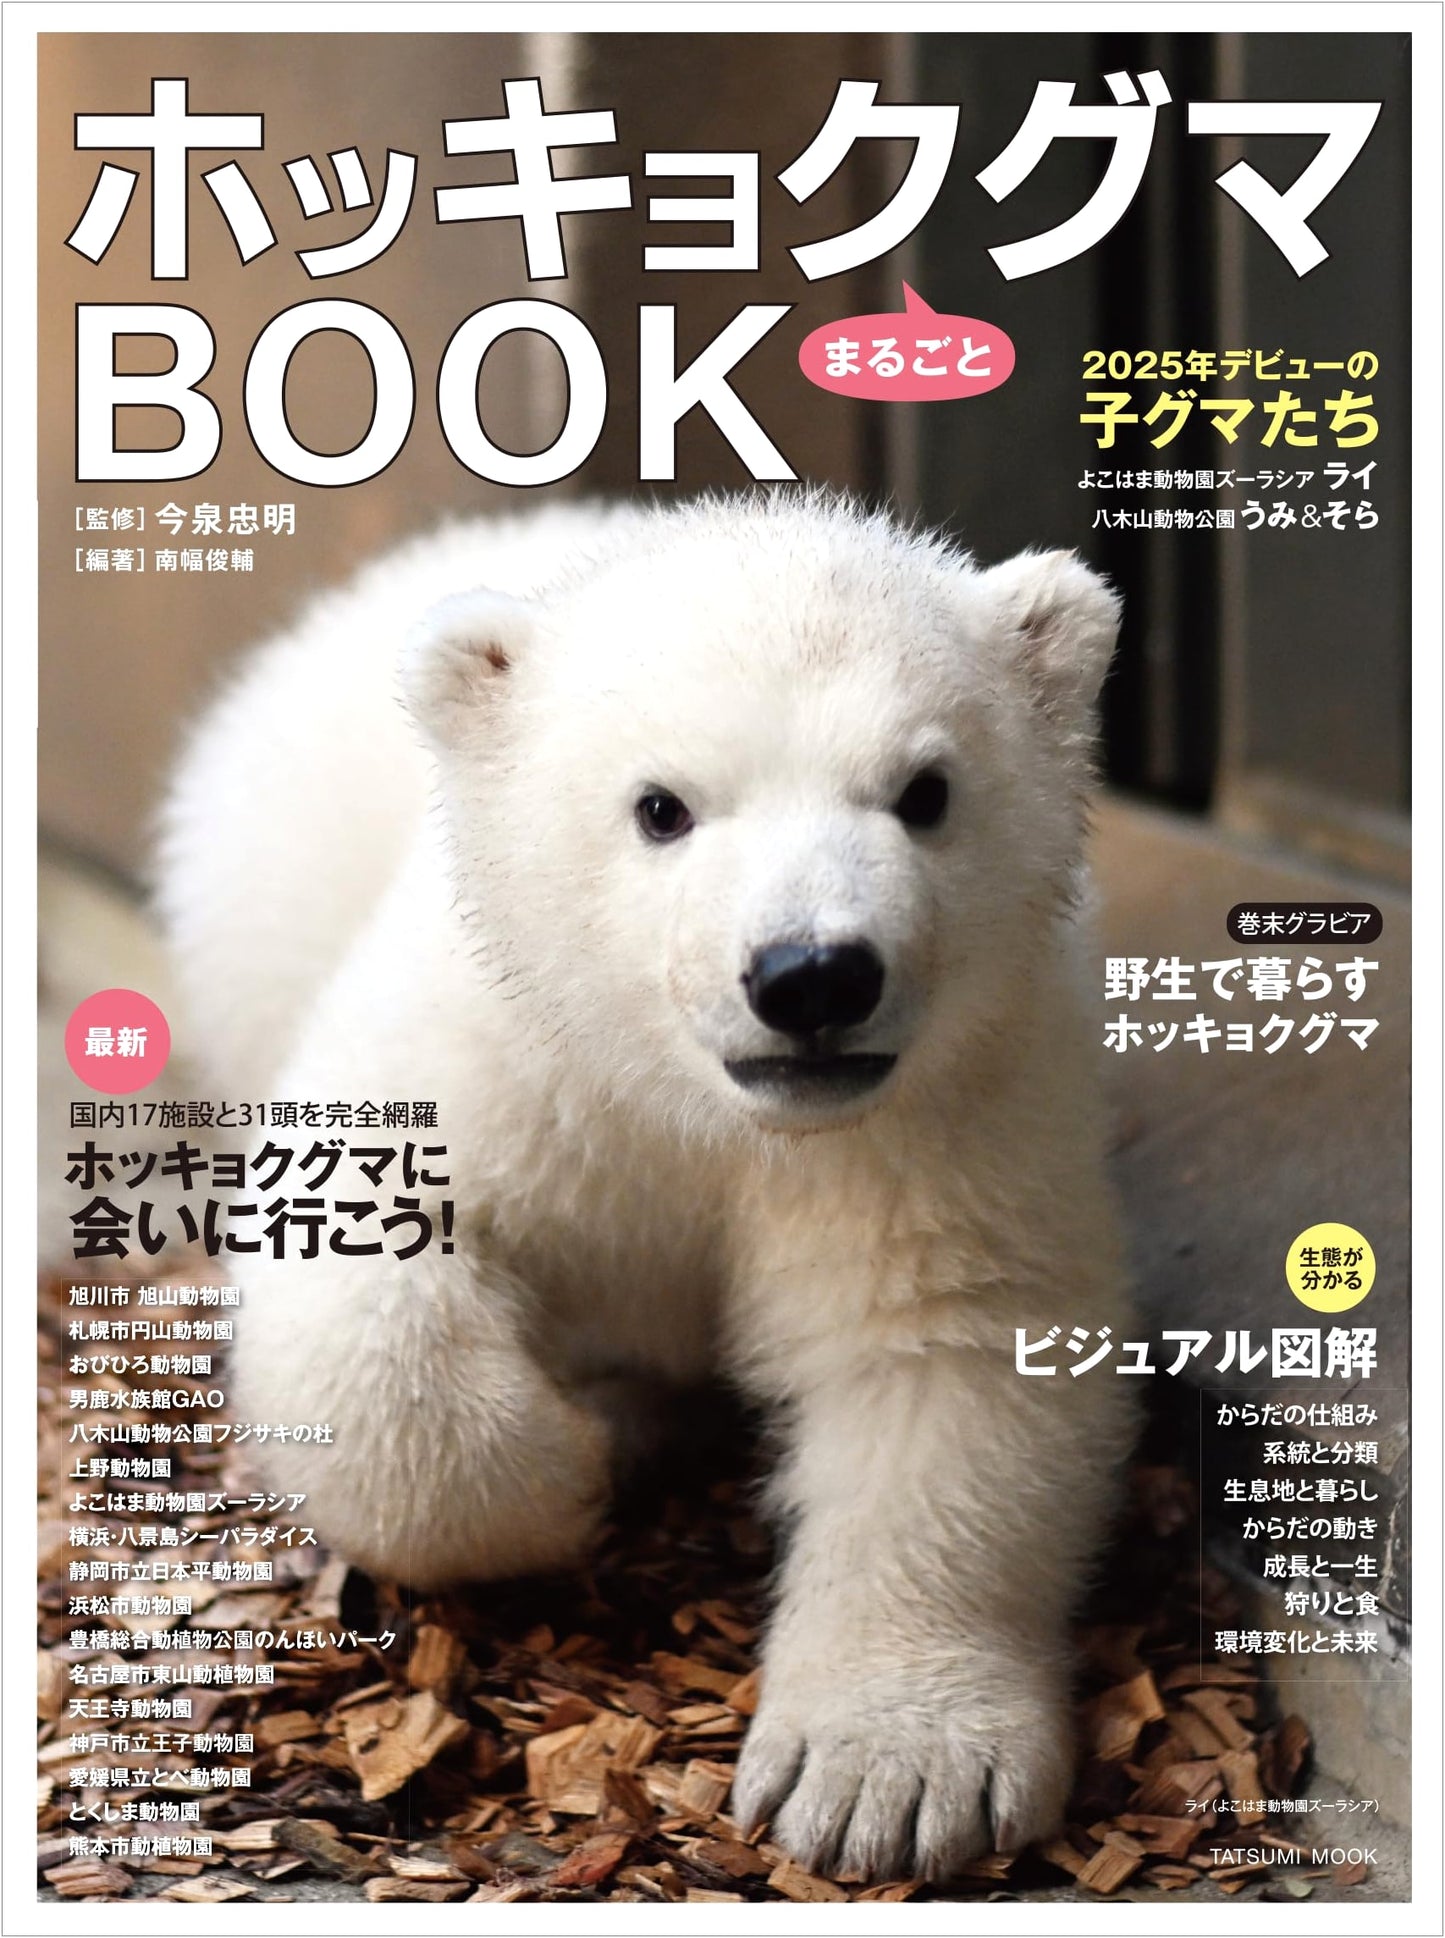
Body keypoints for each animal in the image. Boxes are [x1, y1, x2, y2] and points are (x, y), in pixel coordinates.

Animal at [156, 489, 1133, 1882]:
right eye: (660, 807)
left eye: (925, 791)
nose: (811, 976)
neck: (701, 1105)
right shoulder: (509, 1053)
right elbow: (365, 1283)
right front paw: (564, 1464)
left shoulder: (944, 1110)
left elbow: (944, 1349)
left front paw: (886, 1775)